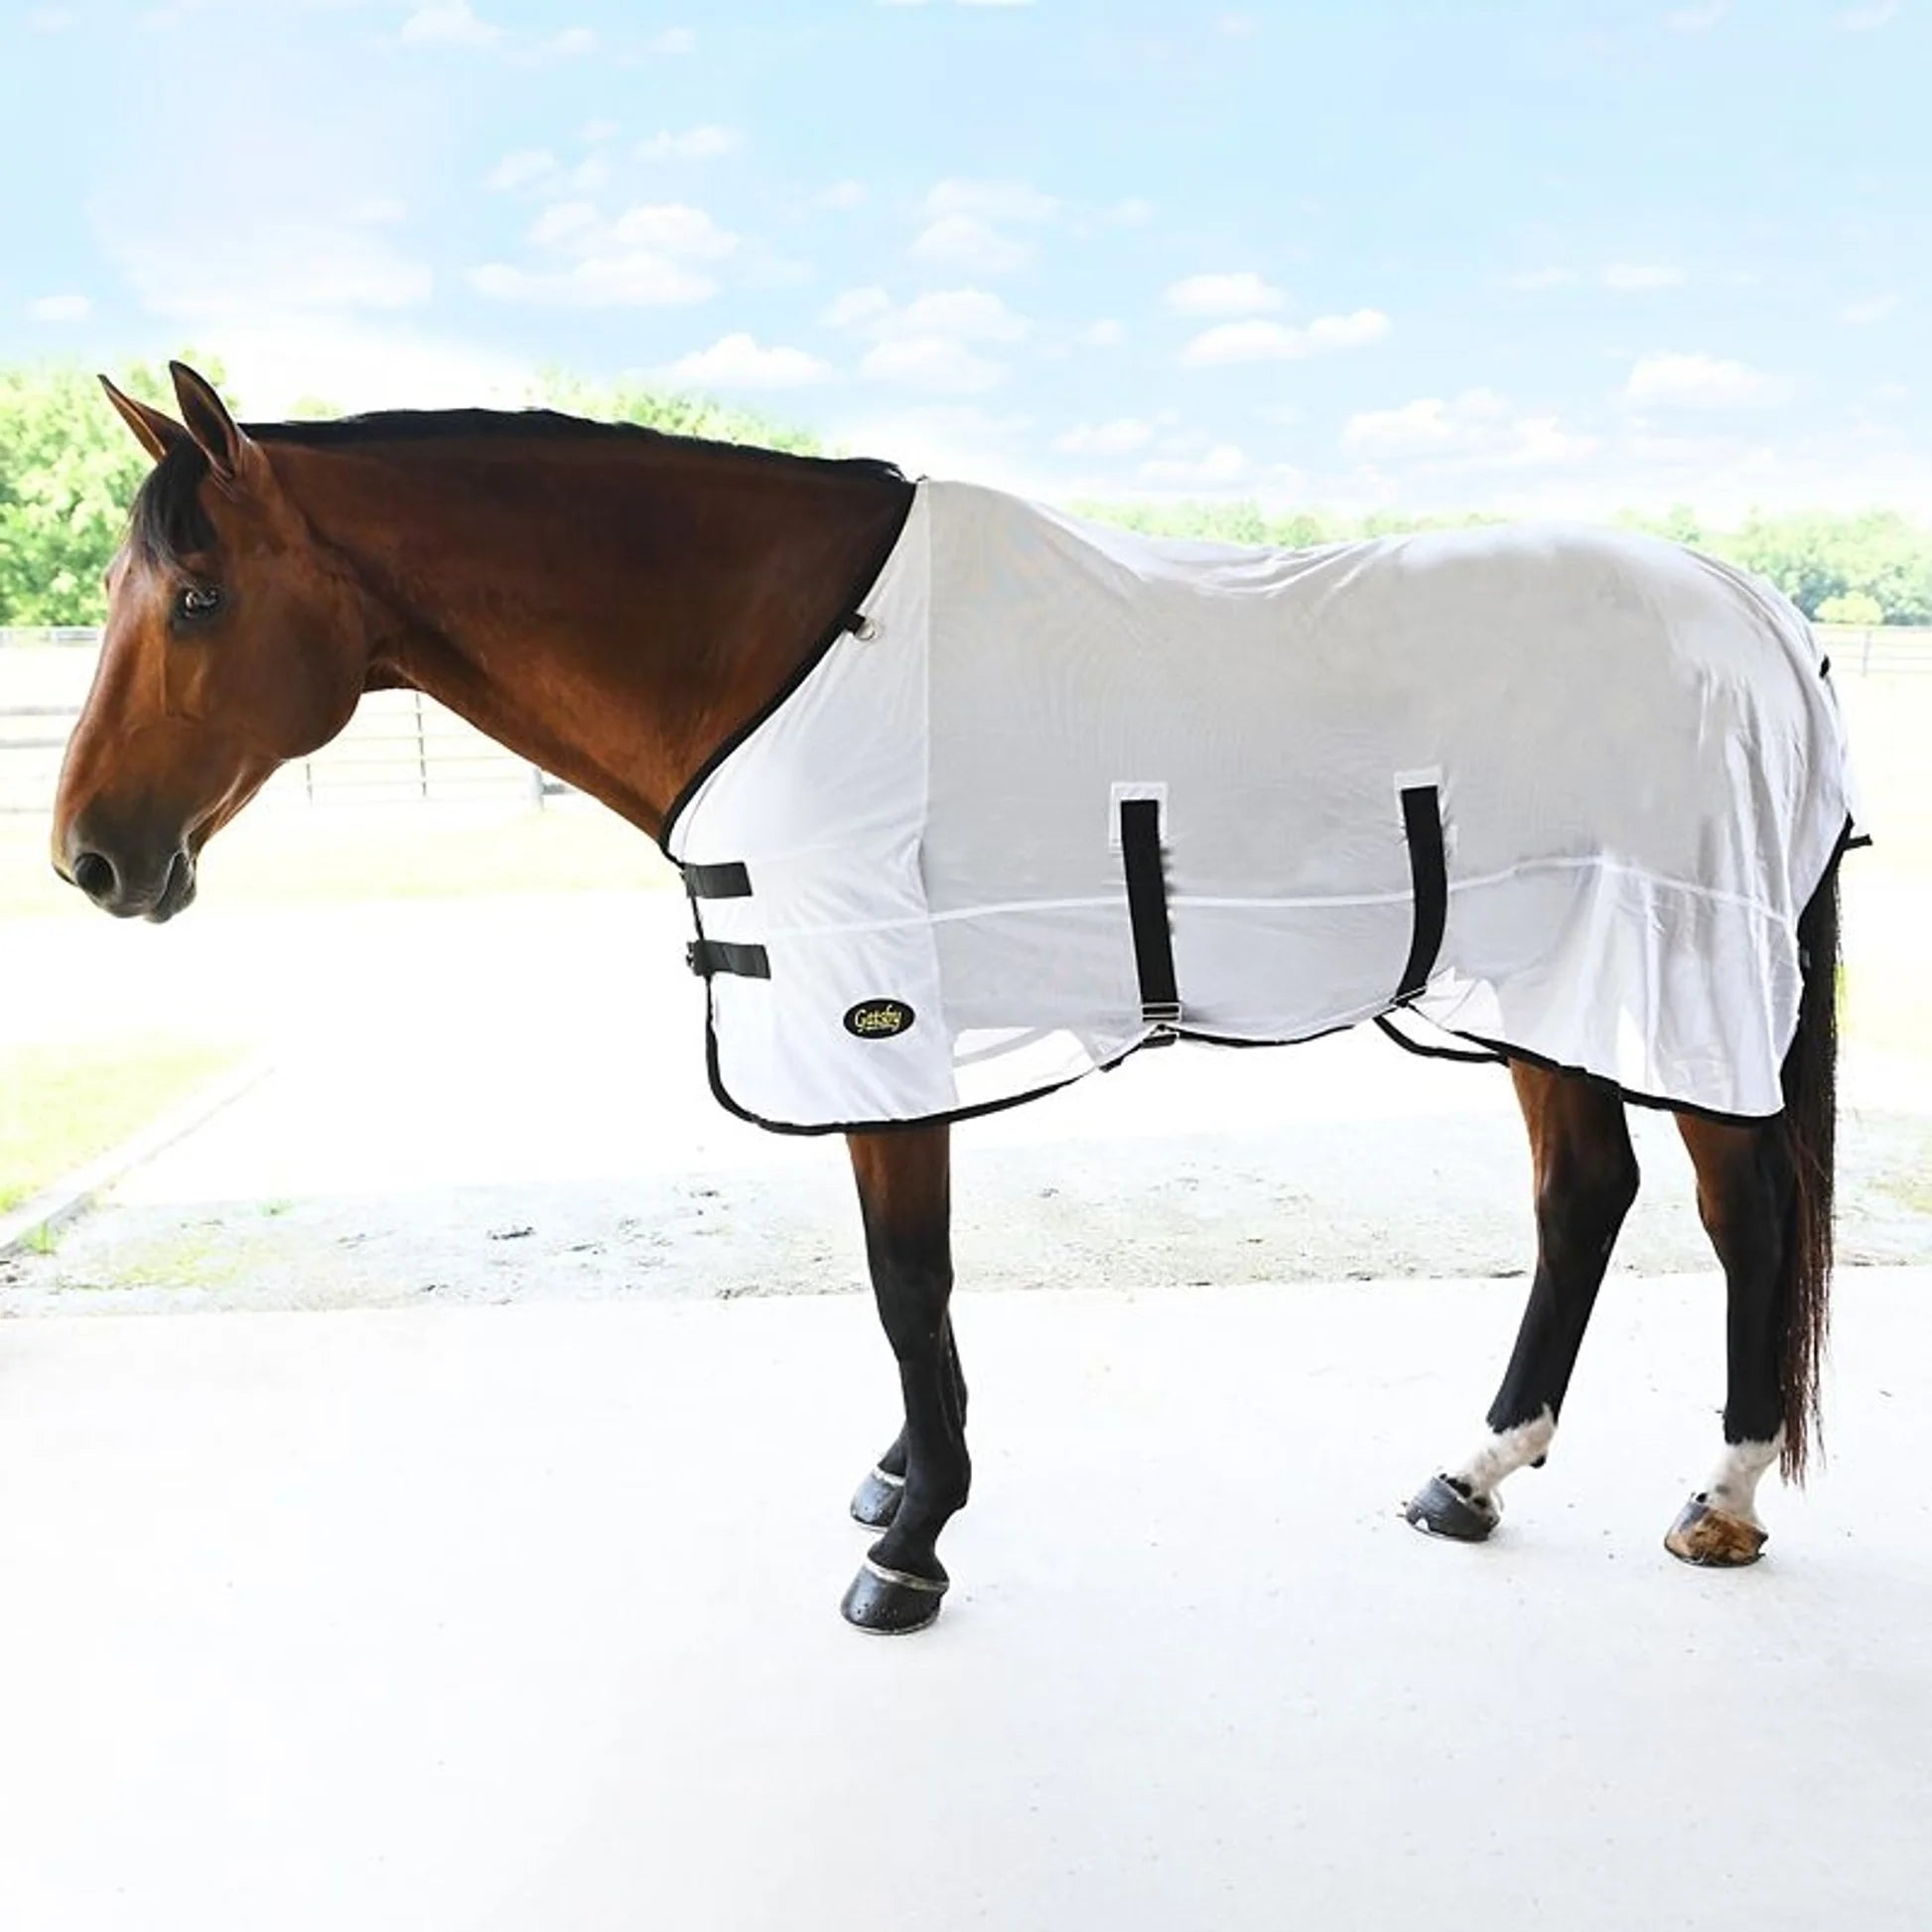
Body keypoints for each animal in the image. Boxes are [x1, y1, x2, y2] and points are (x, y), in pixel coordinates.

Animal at [52, 363, 1856, 1635]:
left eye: (199, 598)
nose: (89, 857)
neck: (774, 647)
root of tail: (1758, 618)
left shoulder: (878, 1035)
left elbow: (906, 1285)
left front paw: (910, 1547)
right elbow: (894, 1291)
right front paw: (896, 1486)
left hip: (1677, 972)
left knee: (1741, 1210)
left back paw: (1720, 1496)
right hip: (1541, 979)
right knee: (1586, 1194)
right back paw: (1468, 1475)